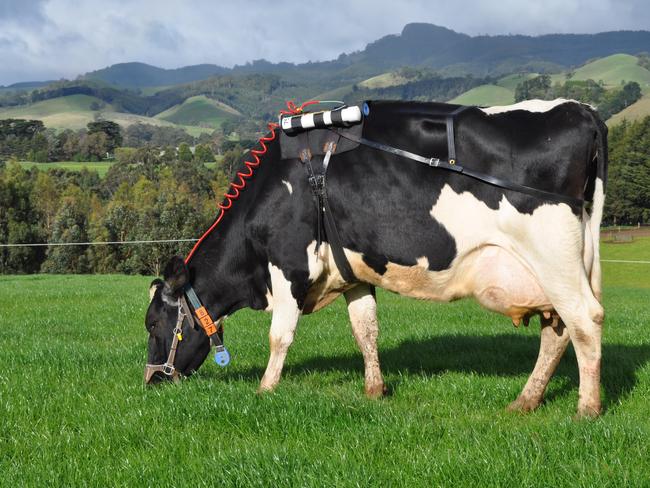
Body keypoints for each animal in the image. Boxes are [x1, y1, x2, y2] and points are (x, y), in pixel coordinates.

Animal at [144, 98, 604, 416]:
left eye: (153, 323)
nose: (150, 381)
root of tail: (580, 110)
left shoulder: (288, 265)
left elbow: (280, 335)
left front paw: (265, 388)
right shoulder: (354, 273)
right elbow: (365, 330)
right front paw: (374, 390)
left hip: (554, 258)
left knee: (585, 321)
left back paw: (587, 408)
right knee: (558, 331)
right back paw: (526, 401)